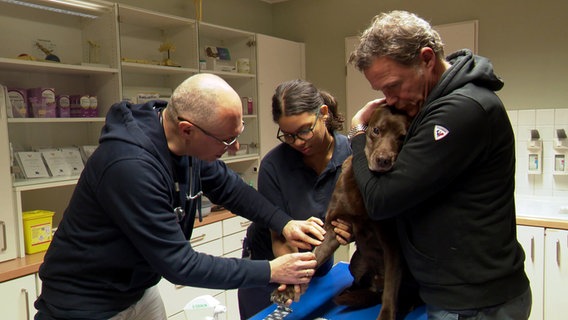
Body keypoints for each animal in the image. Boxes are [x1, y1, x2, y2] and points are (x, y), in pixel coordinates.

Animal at [272, 106, 414, 318]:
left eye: (402, 137)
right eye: (376, 131)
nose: (383, 160)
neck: (364, 186)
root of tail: (376, 286)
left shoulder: (391, 242)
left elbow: (391, 290)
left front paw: (387, 314)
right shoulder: (332, 228)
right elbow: (314, 257)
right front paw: (288, 288)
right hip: (357, 261)